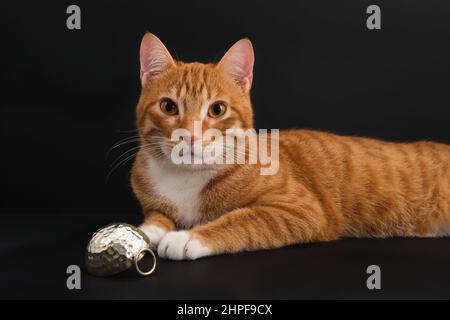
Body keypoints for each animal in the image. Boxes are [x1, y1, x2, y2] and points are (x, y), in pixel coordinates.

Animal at [131, 32, 450, 260]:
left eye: (217, 109)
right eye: (169, 107)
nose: (191, 136)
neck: (185, 178)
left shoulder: (302, 209)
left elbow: (241, 218)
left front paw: (187, 237)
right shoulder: (153, 201)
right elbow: (157, 216)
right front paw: (146, 231)